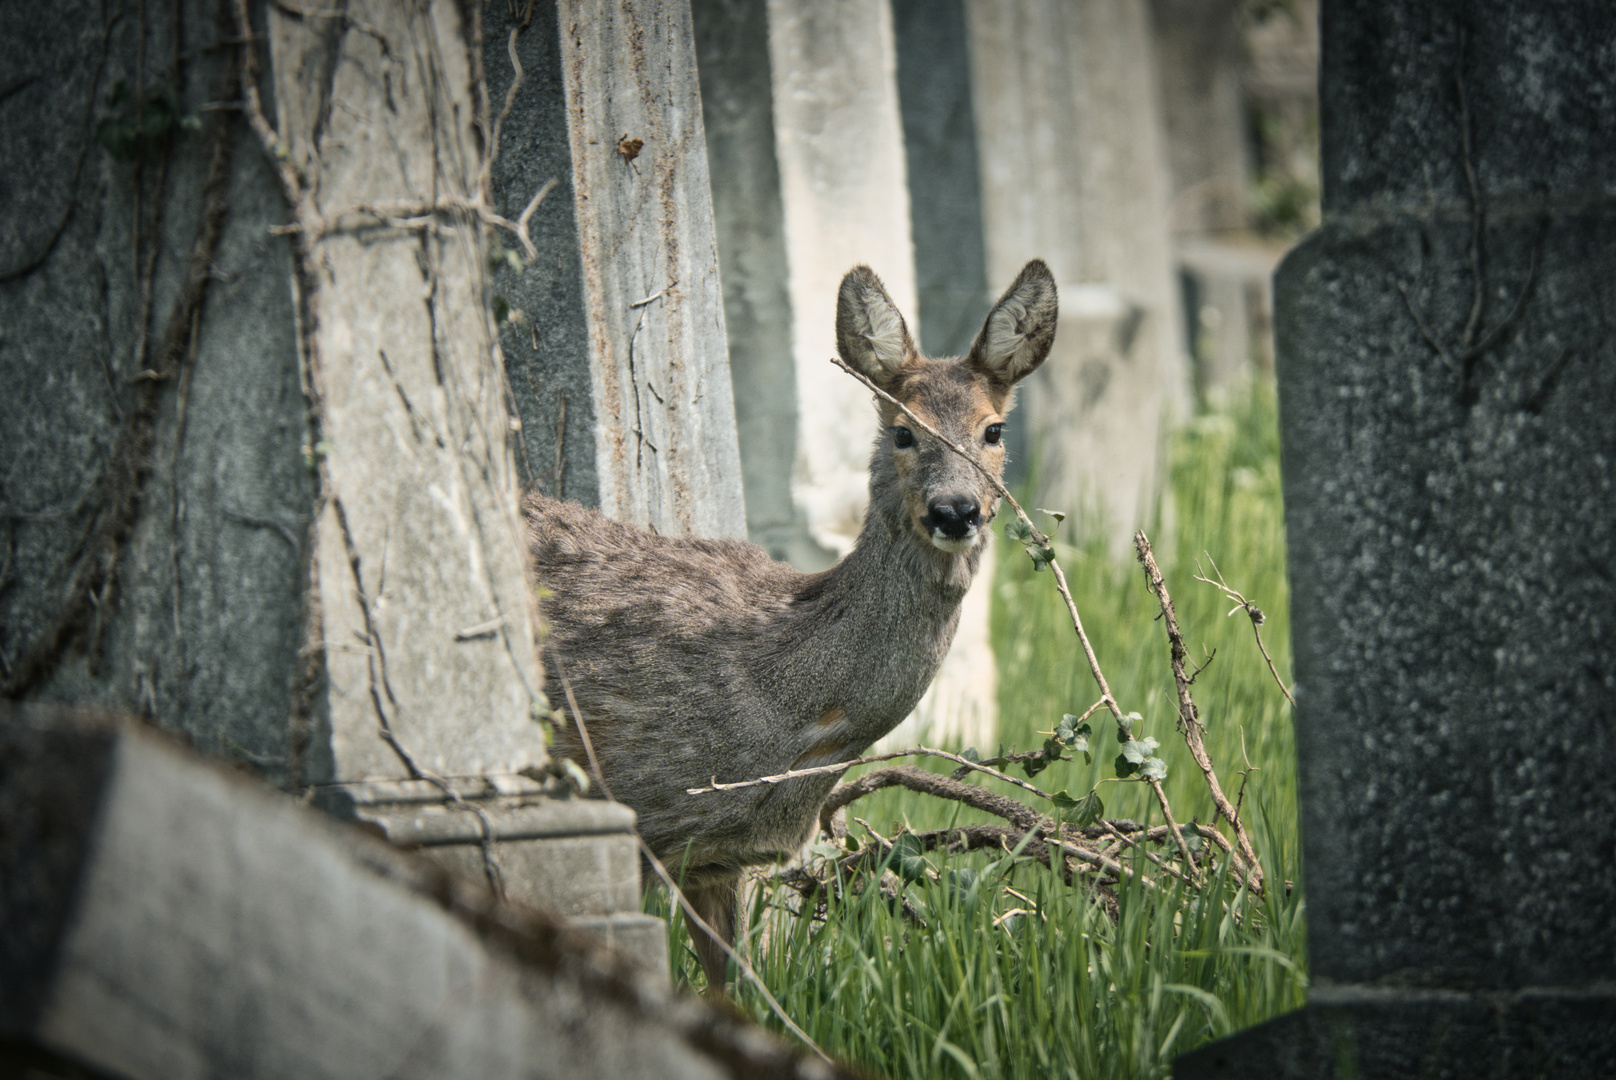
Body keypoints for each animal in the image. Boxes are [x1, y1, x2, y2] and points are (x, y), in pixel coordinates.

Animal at [526, 258, 1060, 989]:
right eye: (903, 432)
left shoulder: (713, 858)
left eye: (993, 431)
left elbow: (738, 988)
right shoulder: (627, 810)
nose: (955, 511)